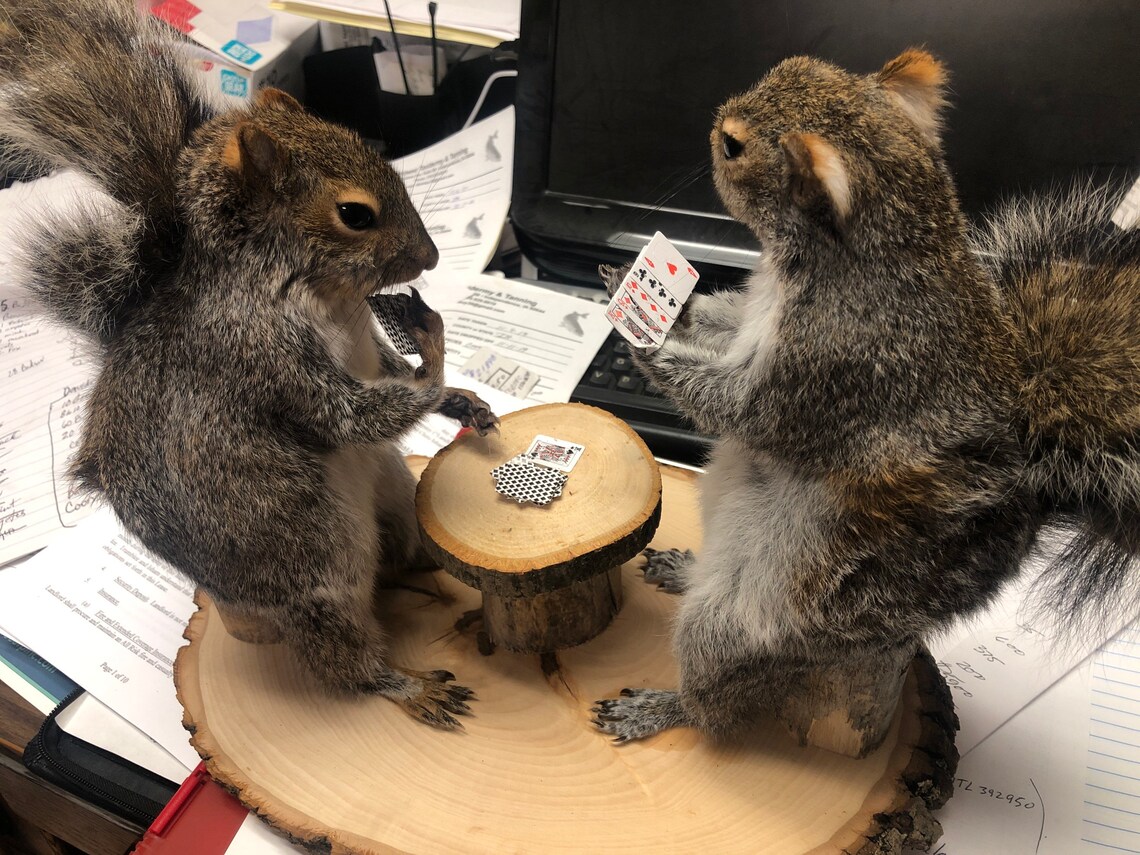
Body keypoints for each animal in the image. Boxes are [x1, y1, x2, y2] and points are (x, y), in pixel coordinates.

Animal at [0, 0, 499, 729]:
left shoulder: (358, 346)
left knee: (400, 558)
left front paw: (464, 398)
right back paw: (408, 687)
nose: (431, 258)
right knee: (342, 658)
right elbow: (350, 414)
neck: (316, 288)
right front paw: (433, 353)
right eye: (355, 214)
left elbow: (381, 373)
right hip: (314, 570)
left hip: (391, 494)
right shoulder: (259, 354)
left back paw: (429, 575)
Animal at [592, 49, 1140, 743]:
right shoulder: (755, 319)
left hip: (749, 619)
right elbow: (719, 326)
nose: (714, 122)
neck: (855, 261)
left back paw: (660, 709)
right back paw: (681, 567)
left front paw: (645, 343)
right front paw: (641, 290)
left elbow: (736, 409)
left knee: (720, 701)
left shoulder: (835, 369)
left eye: (735, 145)